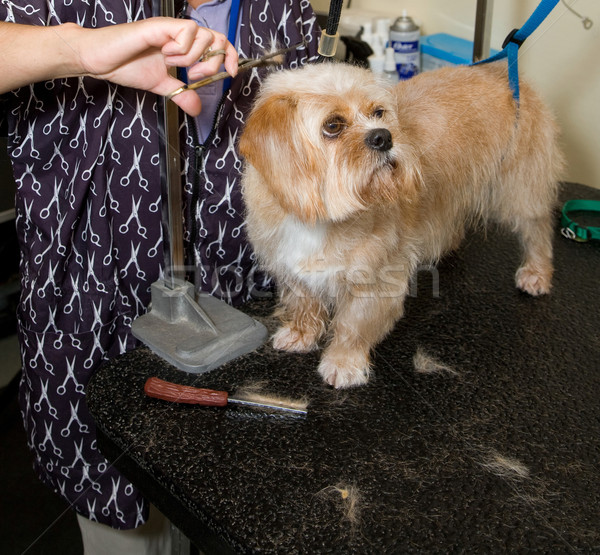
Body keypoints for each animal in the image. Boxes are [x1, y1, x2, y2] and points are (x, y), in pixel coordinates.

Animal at [238, 60, 564, 388]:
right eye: (333, 125)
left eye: (378, 113)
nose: (383, 137)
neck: (322, 217)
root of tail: (504, 73)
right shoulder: (291, 268)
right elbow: (303, 303)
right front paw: (301, 333)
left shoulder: (375, 281)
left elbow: (353, 326)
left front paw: (343, 362)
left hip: (520, 190)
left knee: (537, 230)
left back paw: (536, 272)